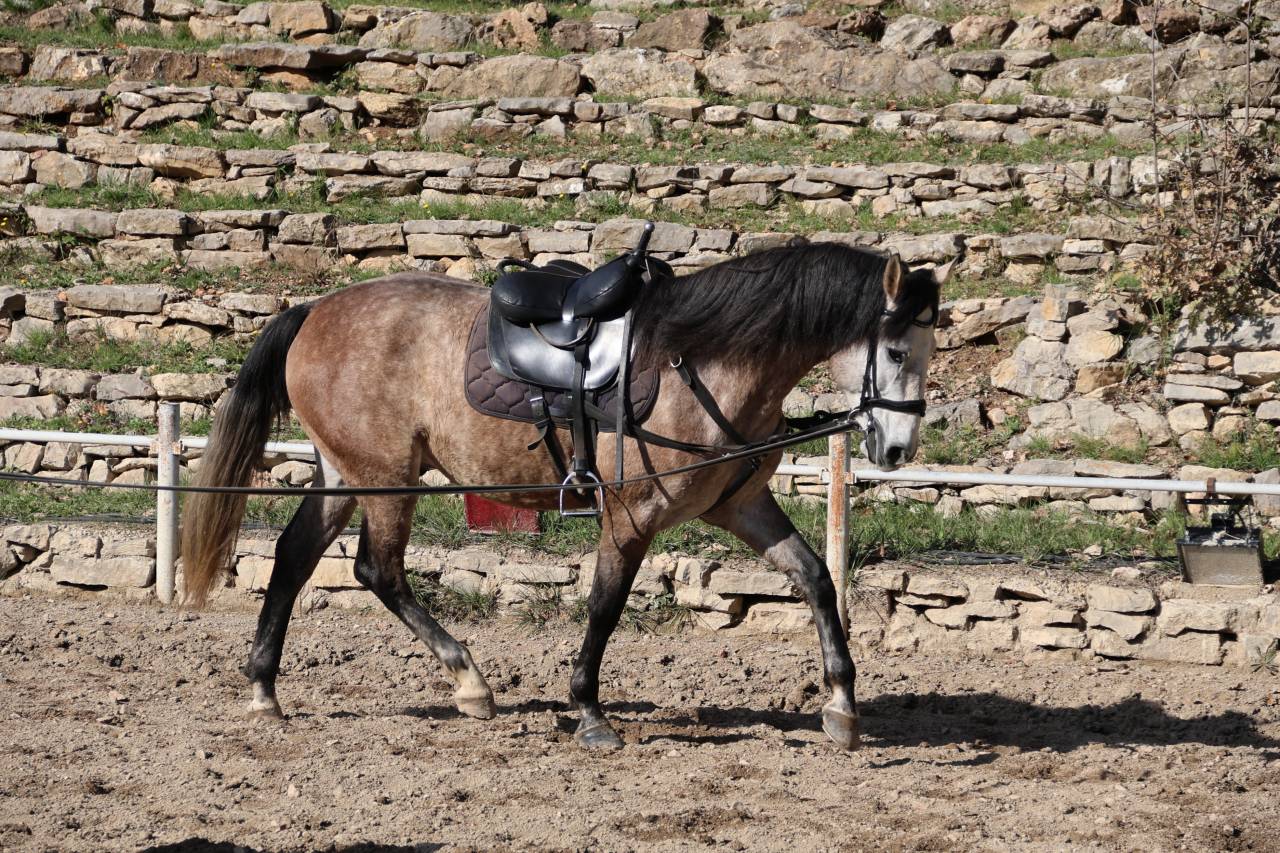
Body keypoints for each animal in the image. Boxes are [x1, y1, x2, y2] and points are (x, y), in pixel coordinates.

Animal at [180, 241, 945, 751]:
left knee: (293, 556)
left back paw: (265, 689)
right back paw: (470, 681)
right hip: (384, 478)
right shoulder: (631, 516)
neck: (701, 360)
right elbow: (605, 607)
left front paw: (842, 704)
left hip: (346, 474)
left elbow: (816, 578)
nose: (897, 450)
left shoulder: (740, 506)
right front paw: (590, 713)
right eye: (896, 351)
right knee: (379, 569)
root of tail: (313, 310)